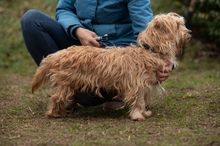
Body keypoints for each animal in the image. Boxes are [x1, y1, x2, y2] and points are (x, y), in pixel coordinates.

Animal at [31, 12, 191, 120]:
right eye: (178, 25)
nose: (189, 32)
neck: (149, 50)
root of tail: (59, 54)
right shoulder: (137, 85)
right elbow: (138, 102)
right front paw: (137, 116)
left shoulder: (145, 86)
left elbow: (142, 101)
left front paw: (144, 112)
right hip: (66, 84)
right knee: (55, 98)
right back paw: (55, 113)